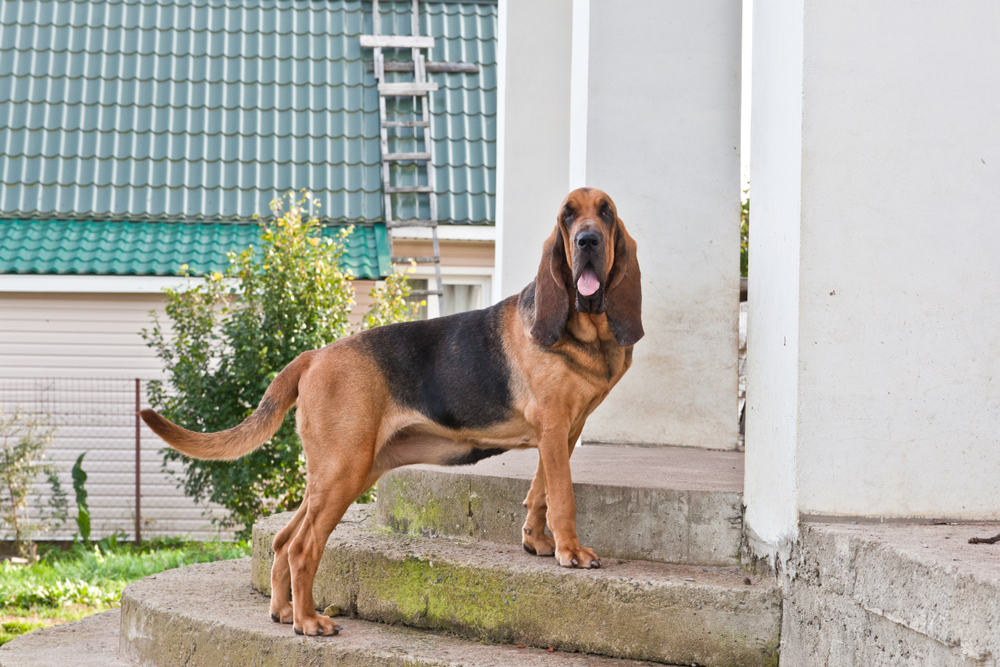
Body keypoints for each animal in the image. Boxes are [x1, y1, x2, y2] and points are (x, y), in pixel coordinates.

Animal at [139, 187, 640, 636]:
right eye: (568, 215)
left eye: (606, 213)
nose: (587, 242)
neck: (585, 327)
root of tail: (313, 356)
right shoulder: (554, 429)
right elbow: (564, 498)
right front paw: (571, 552)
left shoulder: (561, 435)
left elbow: (540, 493)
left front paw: (537, 542)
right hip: (345, 471)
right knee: (302, 548)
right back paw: (309, 621)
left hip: (337, 475)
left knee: (282, 542)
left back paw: (284, 612)